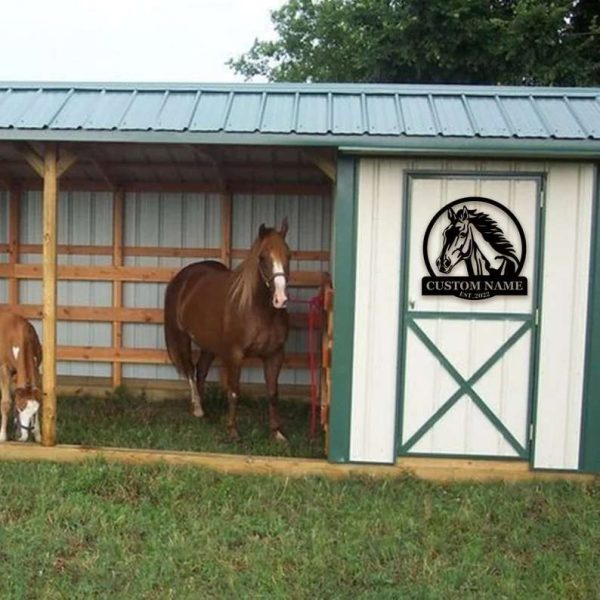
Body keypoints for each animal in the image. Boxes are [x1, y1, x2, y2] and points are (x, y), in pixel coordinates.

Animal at [0, 312, 42, 442]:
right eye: (20, 408)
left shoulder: (36, 368)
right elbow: (6, 402)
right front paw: (2, 435)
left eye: (34, 412)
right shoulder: (4, 368)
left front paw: (38, 434)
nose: (23, 436)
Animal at [164, 218, 290, 438]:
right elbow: (233, 391)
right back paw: (197, 408)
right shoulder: (235, 355)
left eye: (289, 255)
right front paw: (232, 430)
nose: (280, 299)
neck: (259, 311)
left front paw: (277, 432)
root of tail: (184, 277)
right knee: (190, 370)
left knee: (201, 370)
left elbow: (273, 393)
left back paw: (204, 410)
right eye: (262, 257)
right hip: (182, 337)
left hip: (208, 343)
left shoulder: (275, 355)